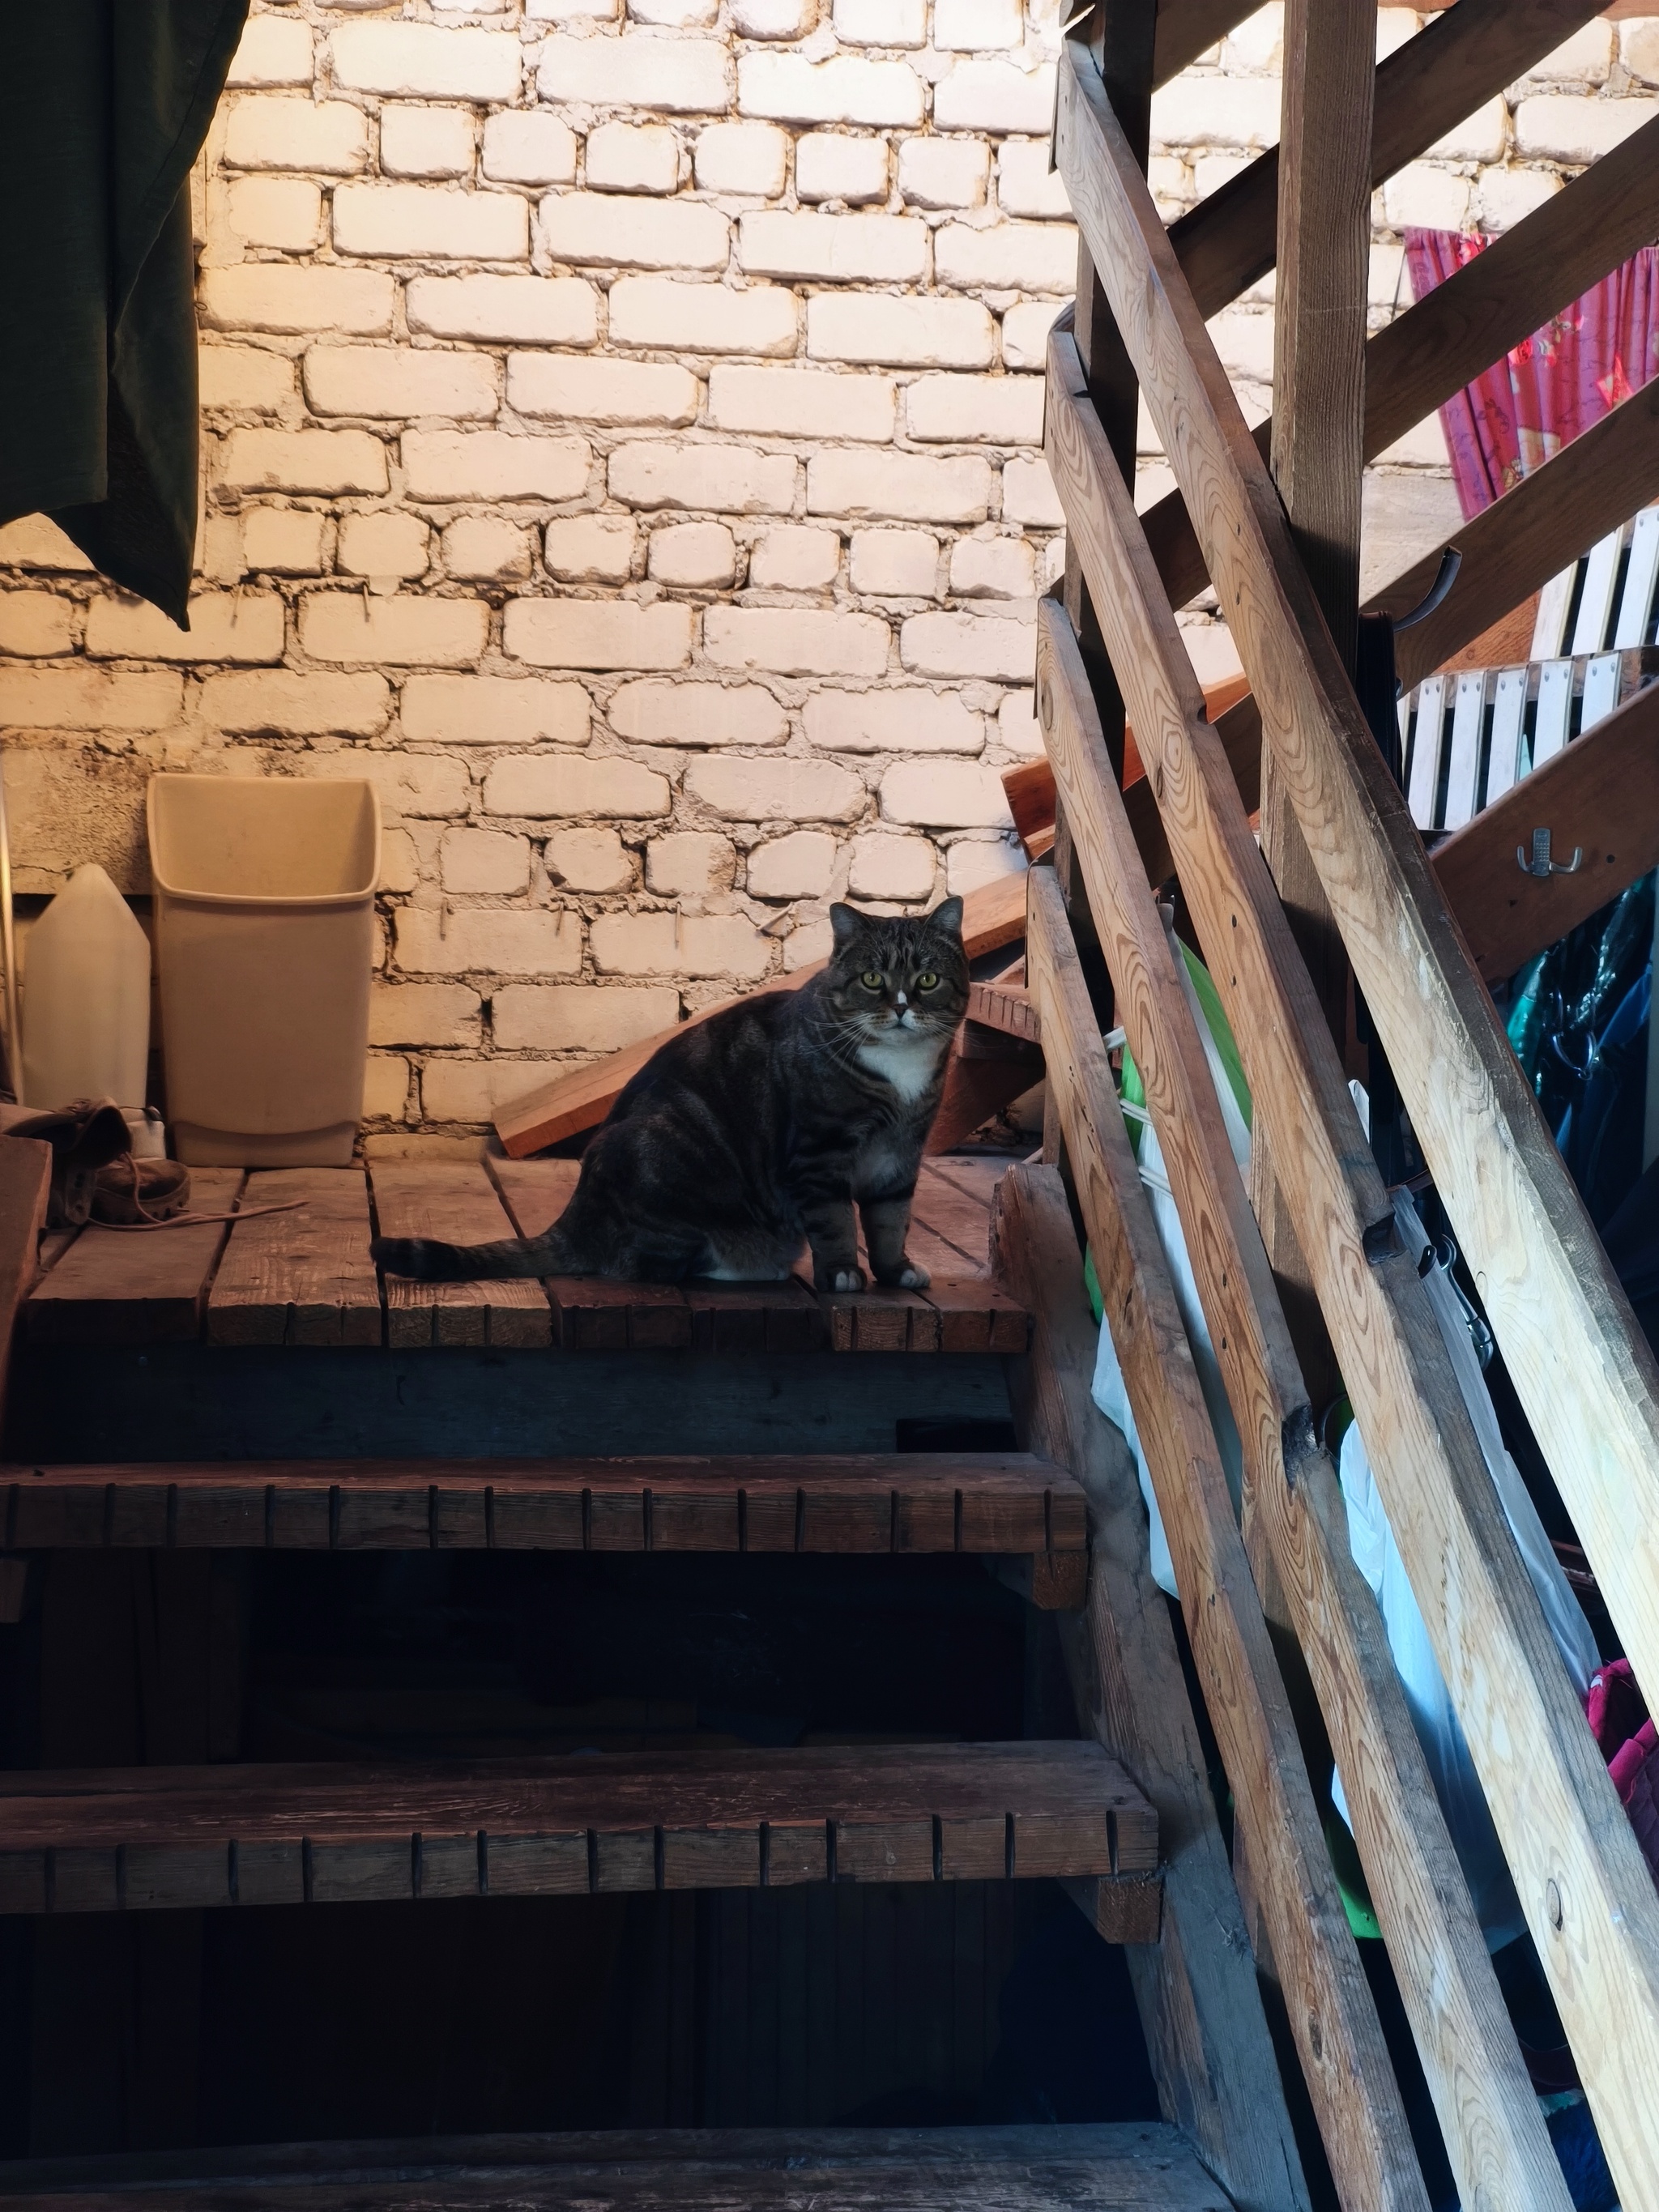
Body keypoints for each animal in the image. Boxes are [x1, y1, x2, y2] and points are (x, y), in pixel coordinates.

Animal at [371, 898, 971, 1290]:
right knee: (645, 1264)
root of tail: (574, 1219)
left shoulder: (901, 1153)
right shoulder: (819, 1150)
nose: (900, 1006)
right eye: (871, 979)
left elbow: (891, 1219)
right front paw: (843, 1272)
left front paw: (895, 1272)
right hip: (668, 1159)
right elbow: (836, 1220)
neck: (900, 1071)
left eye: (927, 979)